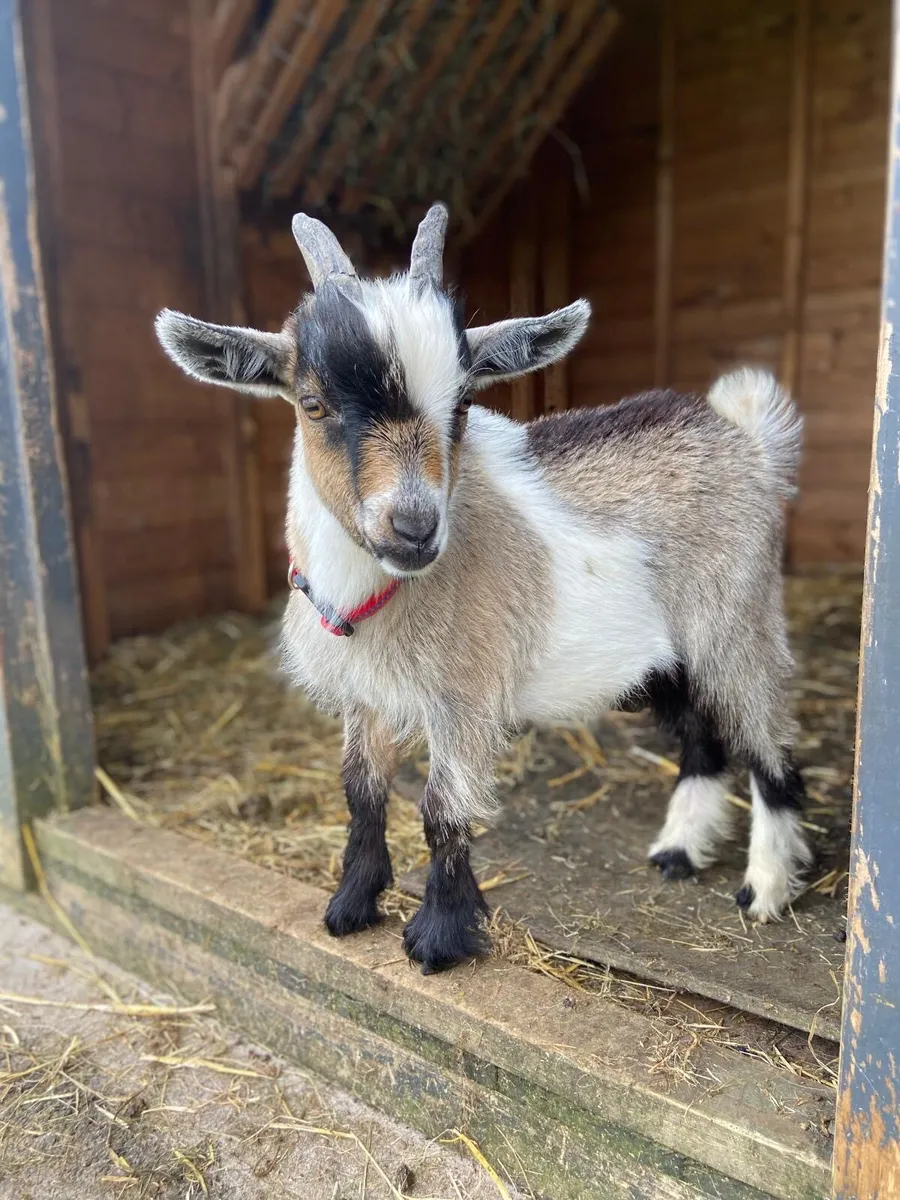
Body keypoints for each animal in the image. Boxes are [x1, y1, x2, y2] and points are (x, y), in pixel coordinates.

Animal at [156, 203, 813, 974]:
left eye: (464, 404)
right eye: (313, 404)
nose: (414, 526)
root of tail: (747, 442)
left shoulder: (462, 698)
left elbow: (441, 810)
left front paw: (438, 939)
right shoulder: (364, 695)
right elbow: (361, 793)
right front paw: (350, 906)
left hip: (737, 619)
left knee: (769, 748)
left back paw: (765, 889)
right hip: (665, 655)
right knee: (704, 738)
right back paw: (678, 852)